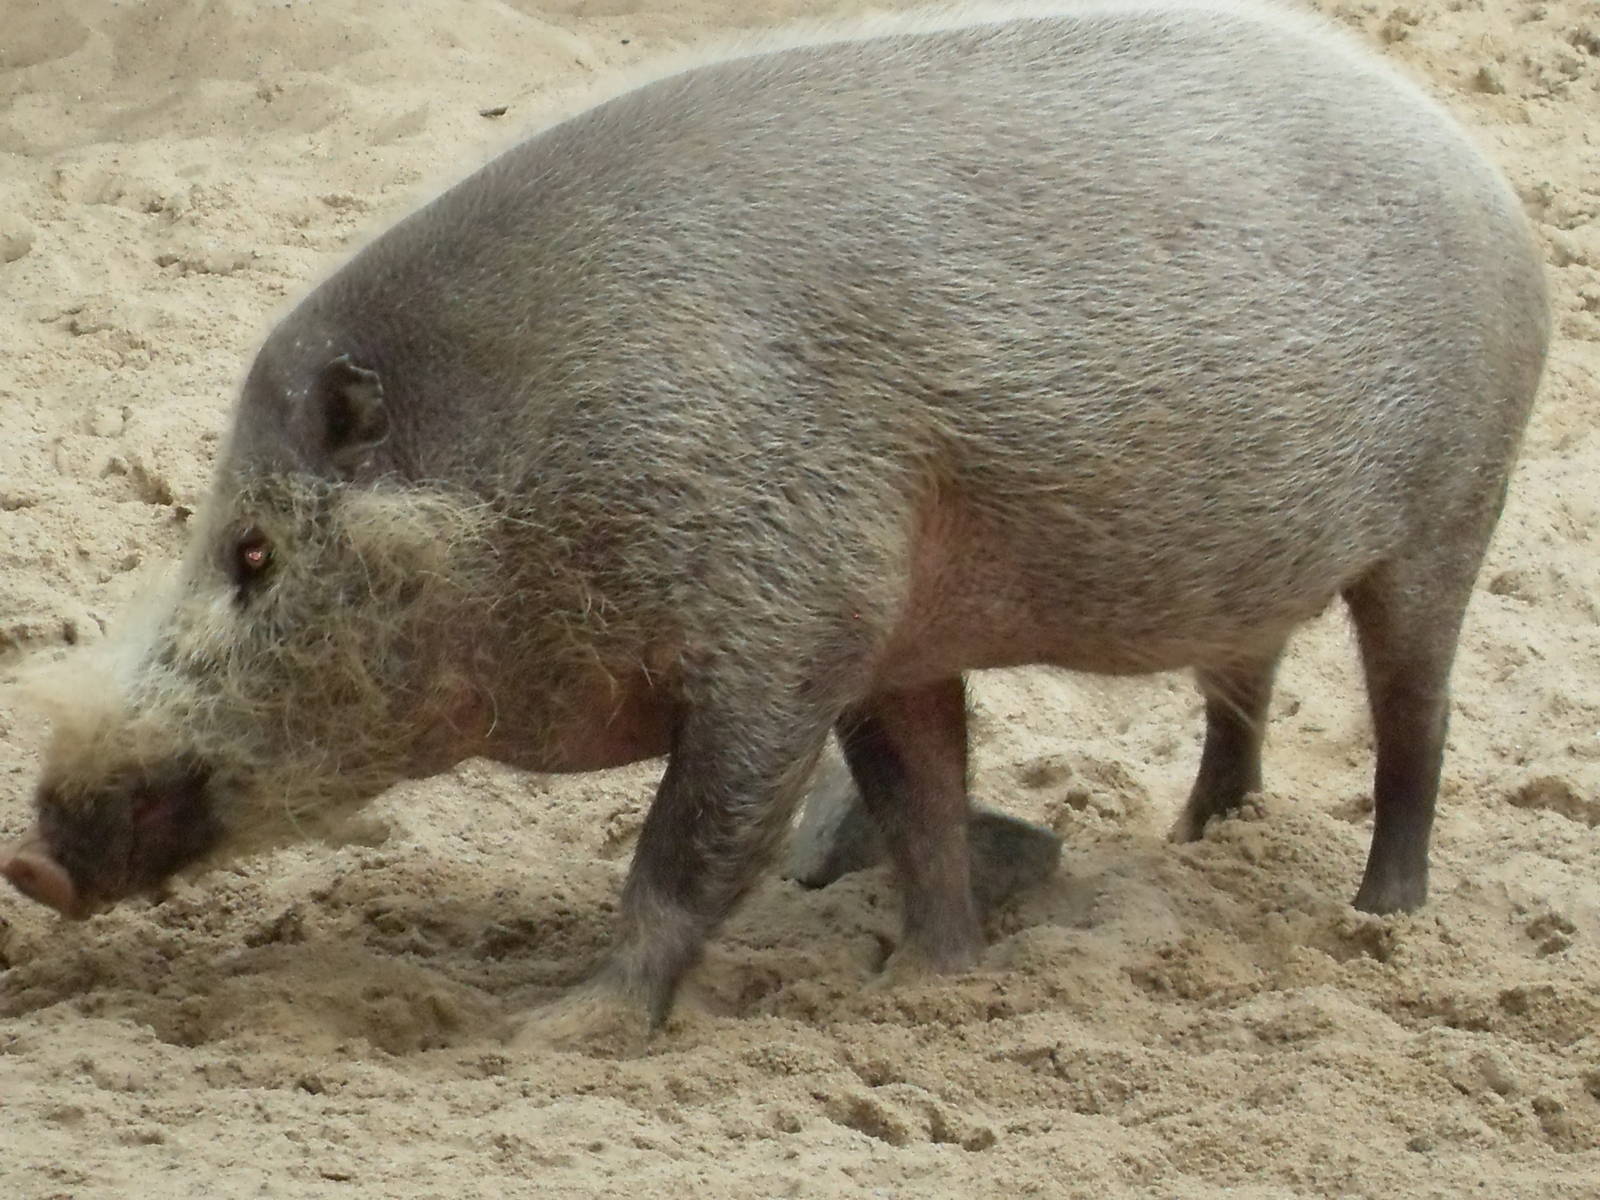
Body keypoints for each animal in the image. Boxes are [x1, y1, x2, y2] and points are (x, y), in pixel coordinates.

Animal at [3, 0, 1549, 1045]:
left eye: (254, 552)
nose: (31, 858)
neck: (541, 462)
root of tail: (1483, 171)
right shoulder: (887, 640)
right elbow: (918, 805)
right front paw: (927, 984)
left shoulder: (783, 625)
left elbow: (692, 848)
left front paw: (555, 1031)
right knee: (1246, 689)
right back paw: (1195, 845)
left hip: (1453, 512)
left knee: (1418, 720)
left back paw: (1380, 919)